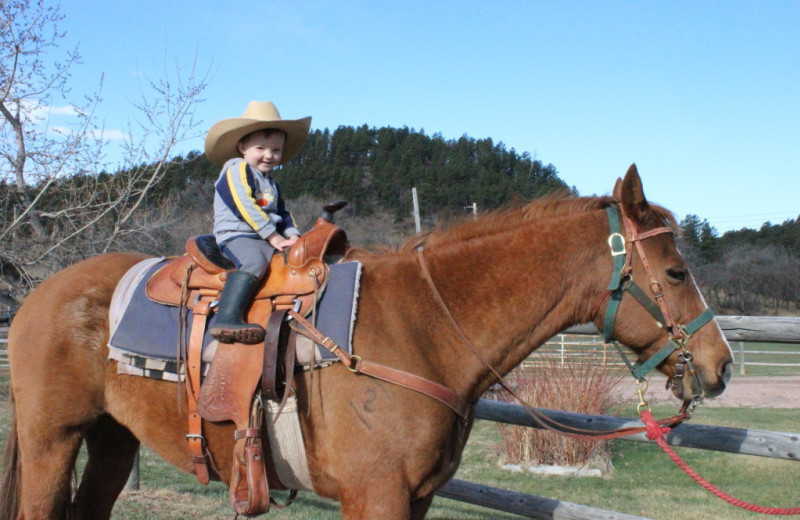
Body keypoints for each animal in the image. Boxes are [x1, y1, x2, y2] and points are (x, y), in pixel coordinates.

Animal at [0, 166, 736, 516]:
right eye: (676, 271)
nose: (720, 366)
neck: (425, 325)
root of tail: (39, 295)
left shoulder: (415, 498)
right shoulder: (375, 495)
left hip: (111, 440)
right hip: (50, 441)